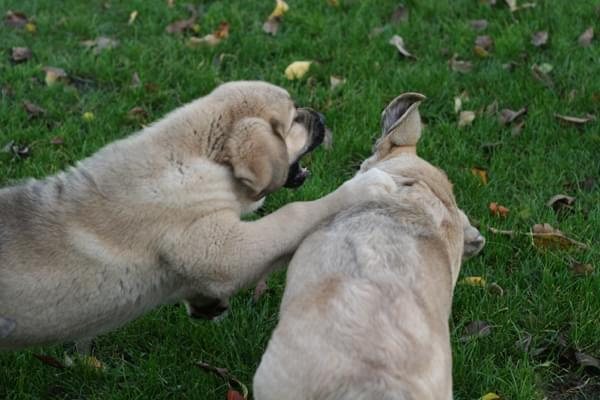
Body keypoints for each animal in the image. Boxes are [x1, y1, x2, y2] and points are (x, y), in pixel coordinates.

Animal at [1, 79, 398, 348]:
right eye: (294, 119)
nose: (323, 116)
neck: (200, 159)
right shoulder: (224, 247)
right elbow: (295, 213)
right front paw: (367, 186)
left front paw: (205, 304)